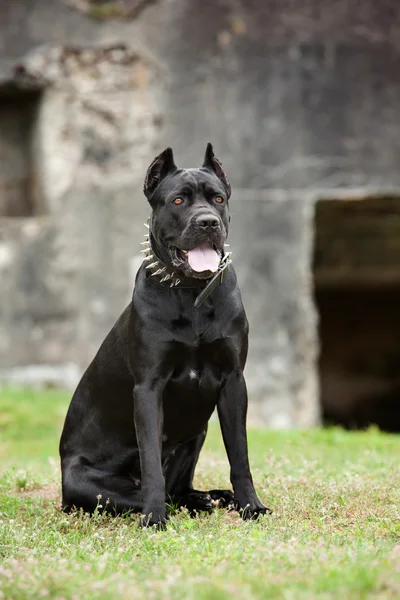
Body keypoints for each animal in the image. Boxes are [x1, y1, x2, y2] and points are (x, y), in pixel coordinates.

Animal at [59, 143, 268, 528]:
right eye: (177, 201)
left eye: (218, 198)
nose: (208, 222)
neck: (191, 291)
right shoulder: (148, 387)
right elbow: (152, 462)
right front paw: (154, 518)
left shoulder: (233, 381)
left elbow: (240, 454)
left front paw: (251, 505)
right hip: (88, 484)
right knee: (157, 492)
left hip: (197, 431)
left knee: (181, 489)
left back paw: (213, 498)